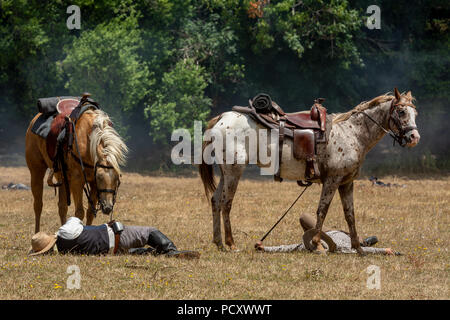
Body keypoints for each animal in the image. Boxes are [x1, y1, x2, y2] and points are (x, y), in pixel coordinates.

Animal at [199, 89, 420, 254]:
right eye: (401, 112)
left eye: (414, 113)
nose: (414, 137)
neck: (351, 133)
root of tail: (221, 118)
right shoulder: (332, 180)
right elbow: (322, 210)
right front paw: (316, 243)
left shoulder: (346, 182)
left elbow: (350, 214)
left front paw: (358, 248)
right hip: (234, 171)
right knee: (226, 203)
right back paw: (231, 244)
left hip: (225, 173)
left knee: (216, 201)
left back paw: (219, 243)